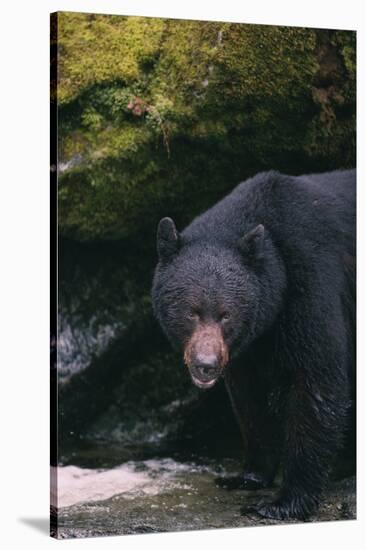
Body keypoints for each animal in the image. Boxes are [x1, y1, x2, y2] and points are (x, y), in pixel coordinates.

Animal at [152, 171, 354, 520]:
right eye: (191, 312)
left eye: (226, 315)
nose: (206, 365)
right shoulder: (251, 345)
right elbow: (250, 398)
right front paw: (246, 476)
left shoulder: (312, 280)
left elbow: (316, 379)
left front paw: (283, 502)